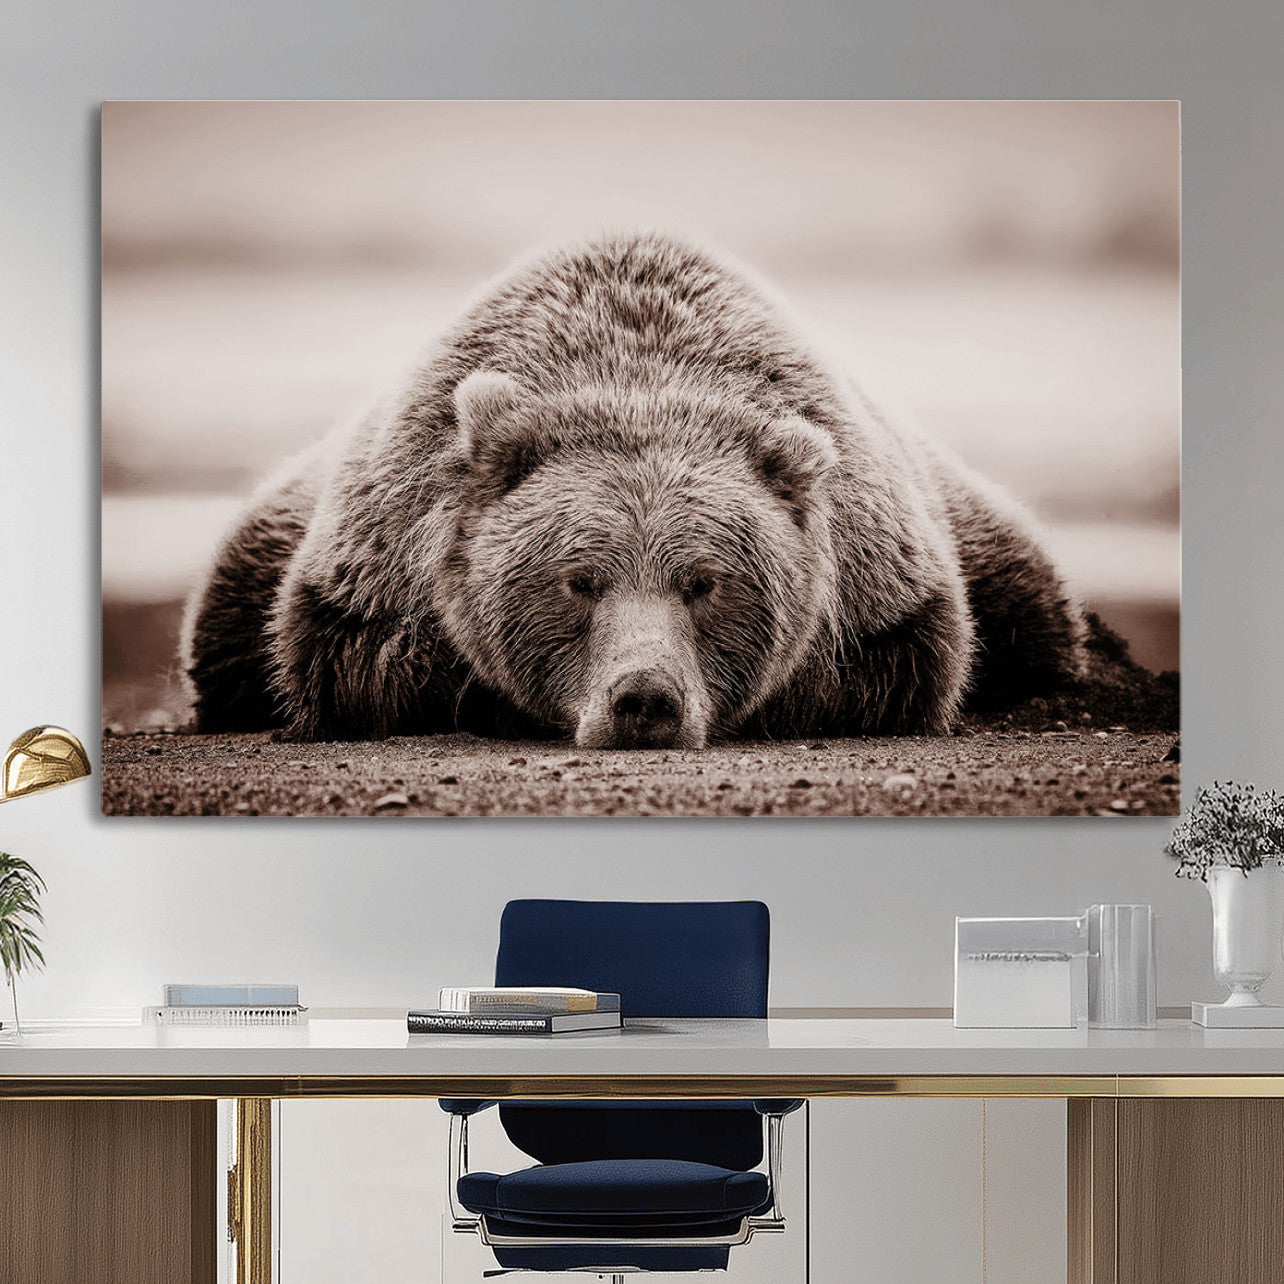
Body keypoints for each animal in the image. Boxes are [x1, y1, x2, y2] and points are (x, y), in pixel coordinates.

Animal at [181, 231, 1084, 748]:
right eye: (579, 580)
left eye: (706, 582)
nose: (644, 700)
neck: (637, 374)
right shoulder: (380, 557)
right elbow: (354, 659)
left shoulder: (879, 575)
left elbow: (898, 663)